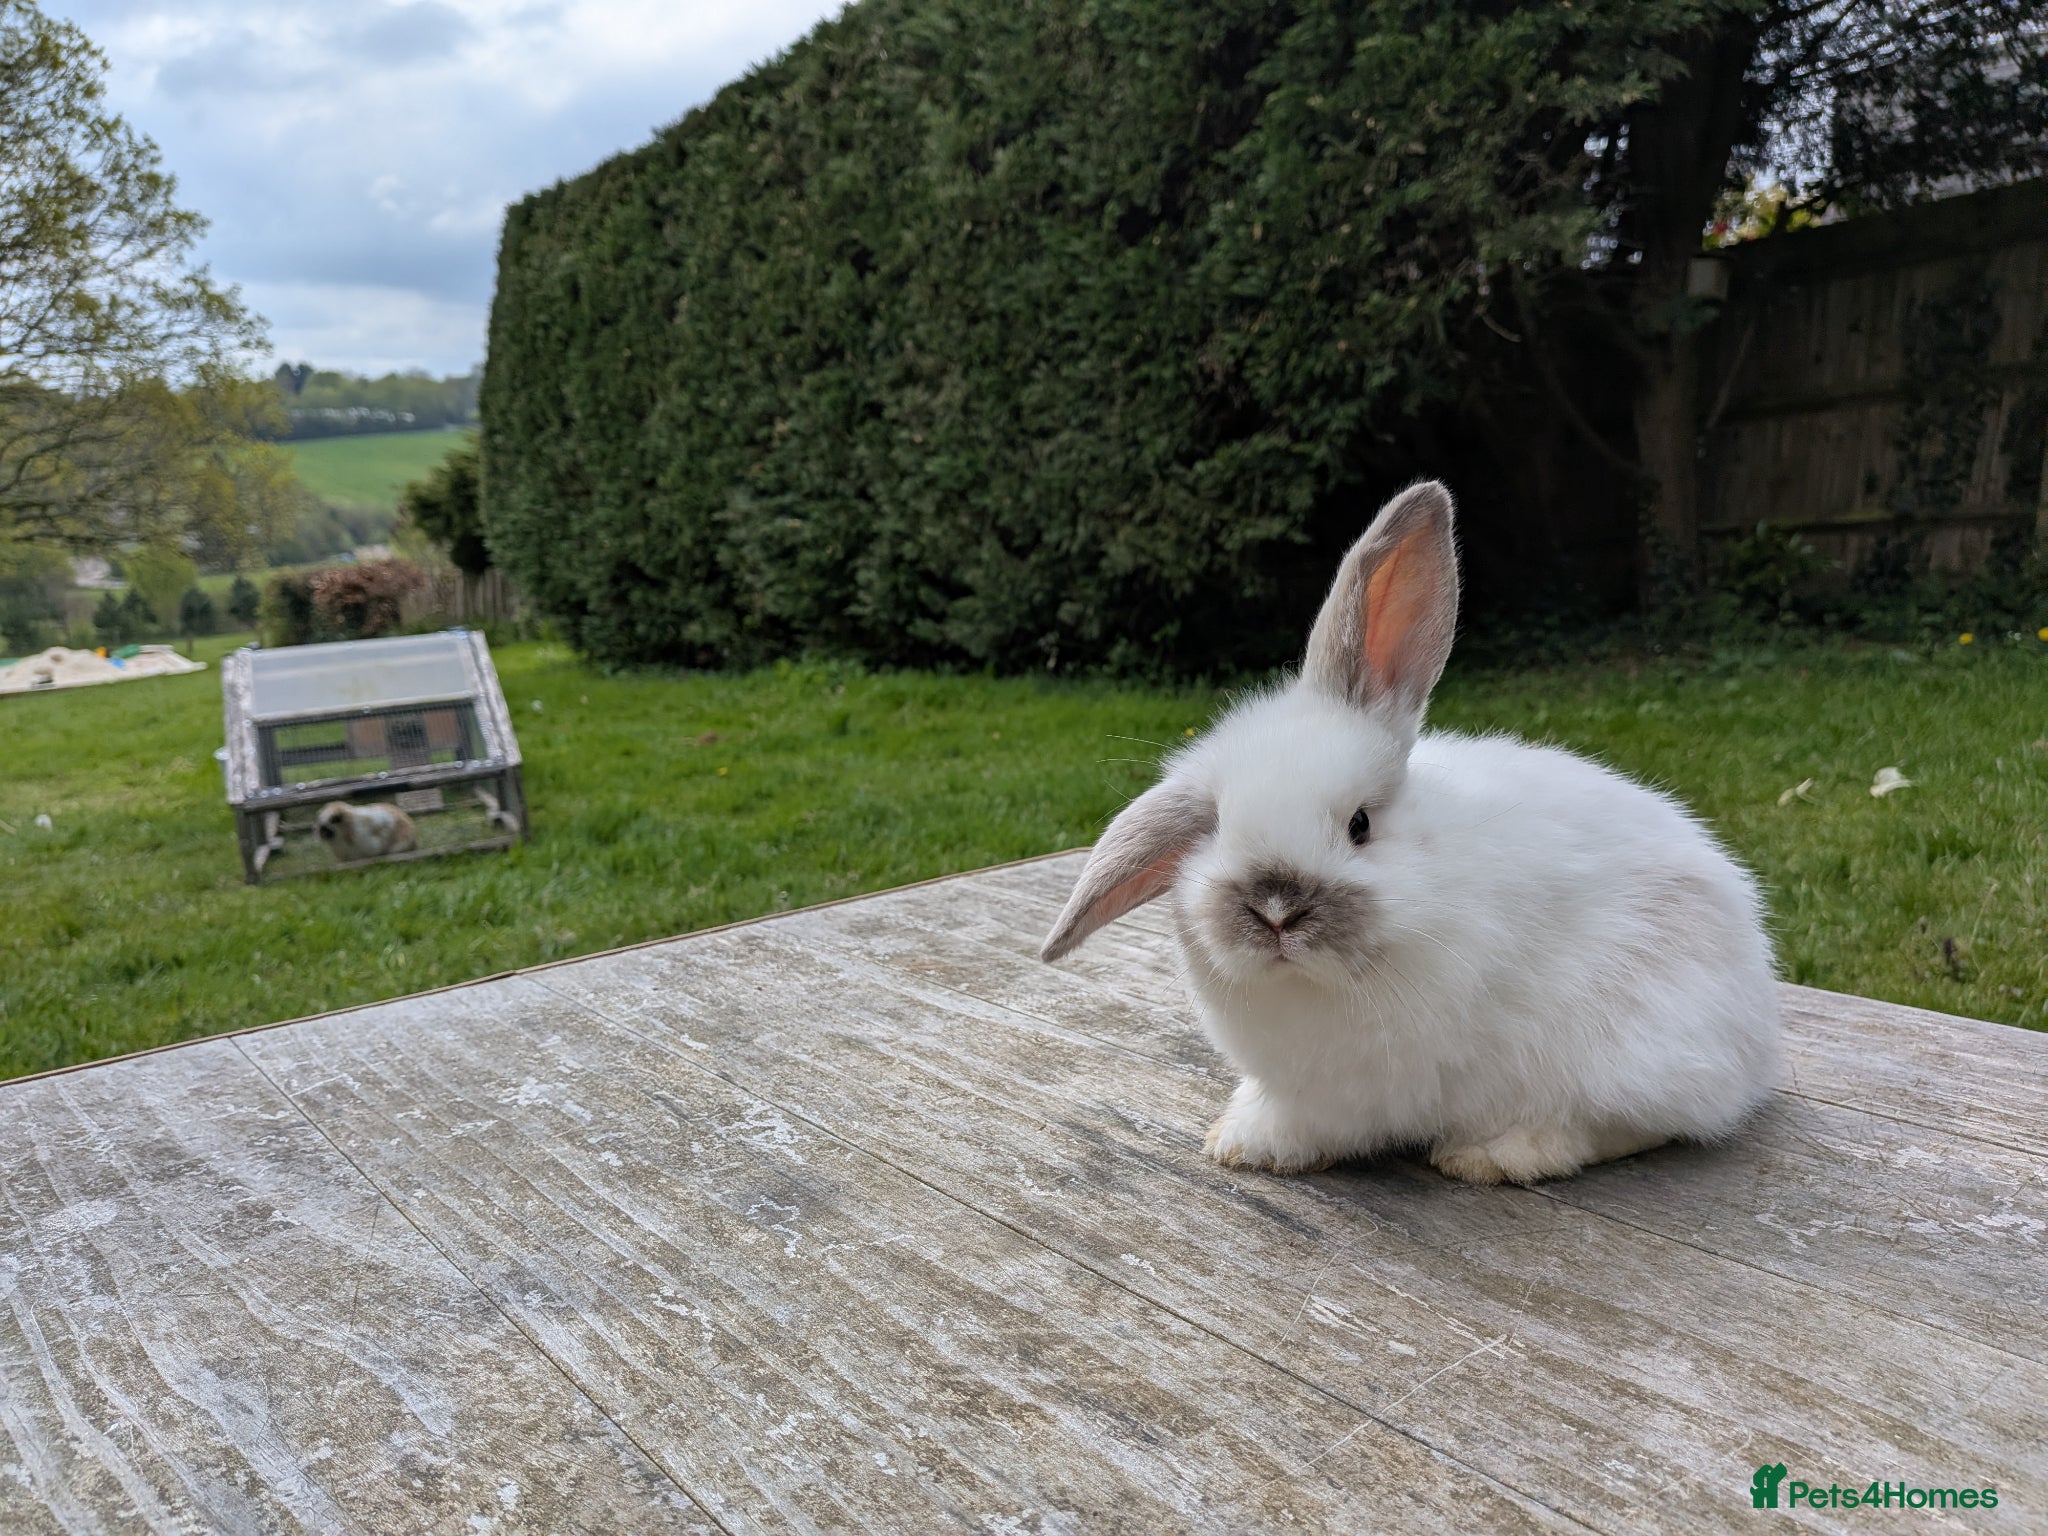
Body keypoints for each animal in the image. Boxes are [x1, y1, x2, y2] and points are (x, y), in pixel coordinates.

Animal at [1040, 481, 1780, 1185]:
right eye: (1216, 827)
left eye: (1360, 824)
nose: (1276, 909)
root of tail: (1755, 1033)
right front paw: (1237, 1136)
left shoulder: (1359, 1089)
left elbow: (1319, 1122)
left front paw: (1255, 1145)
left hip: (1637, 1049)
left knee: (1634, 1123)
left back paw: (1498, 1153)